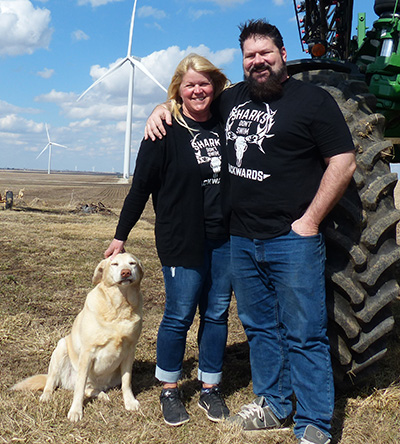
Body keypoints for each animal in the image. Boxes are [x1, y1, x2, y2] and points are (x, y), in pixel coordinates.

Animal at [12, 251, 144, 422]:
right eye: (114, 264)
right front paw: (75, 411)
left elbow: (126, 381)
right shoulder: (87, 352)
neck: (119, 306)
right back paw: (47, 396)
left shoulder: (130, 350)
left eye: (132, 263)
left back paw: (102, 395)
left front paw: (130, 402)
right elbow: (79, 388)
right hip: (60, 348)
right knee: (53, 382)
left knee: (90, 389)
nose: (126, 272)